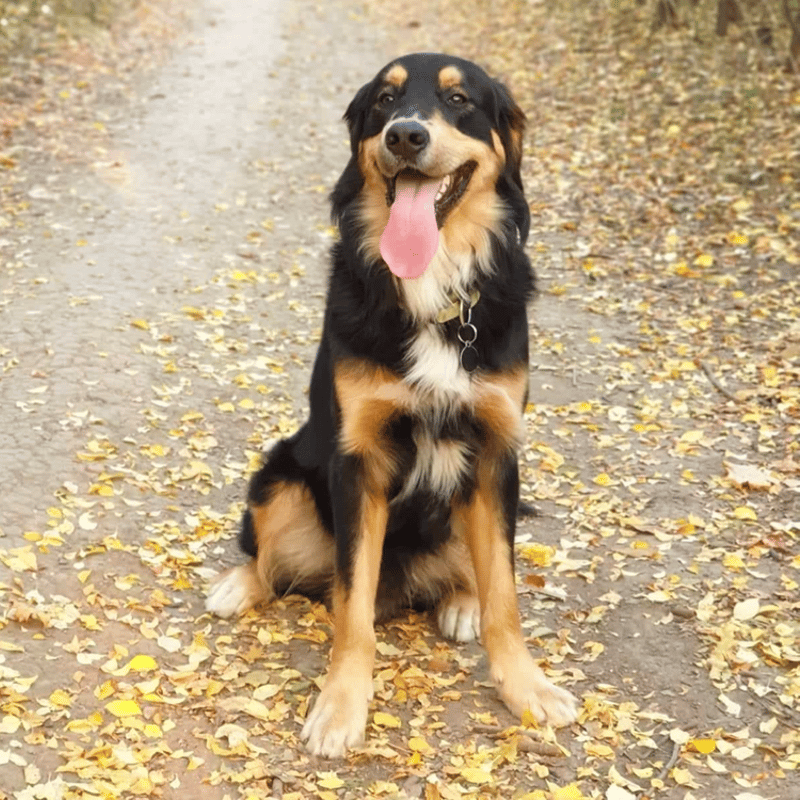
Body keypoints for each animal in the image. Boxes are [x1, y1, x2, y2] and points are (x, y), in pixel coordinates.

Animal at [206, 54, 580, 756]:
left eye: (460, 99)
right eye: (385, 98)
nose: (405, 135)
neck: (431, 285)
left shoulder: (496, 454)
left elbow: (505, 595)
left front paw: (527, 686)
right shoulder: (357, 461)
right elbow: (351, 607)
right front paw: (340, 706)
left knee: (471, 573)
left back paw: (459, 601)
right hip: (279, 474)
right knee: (274, 563)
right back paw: (239, 585)